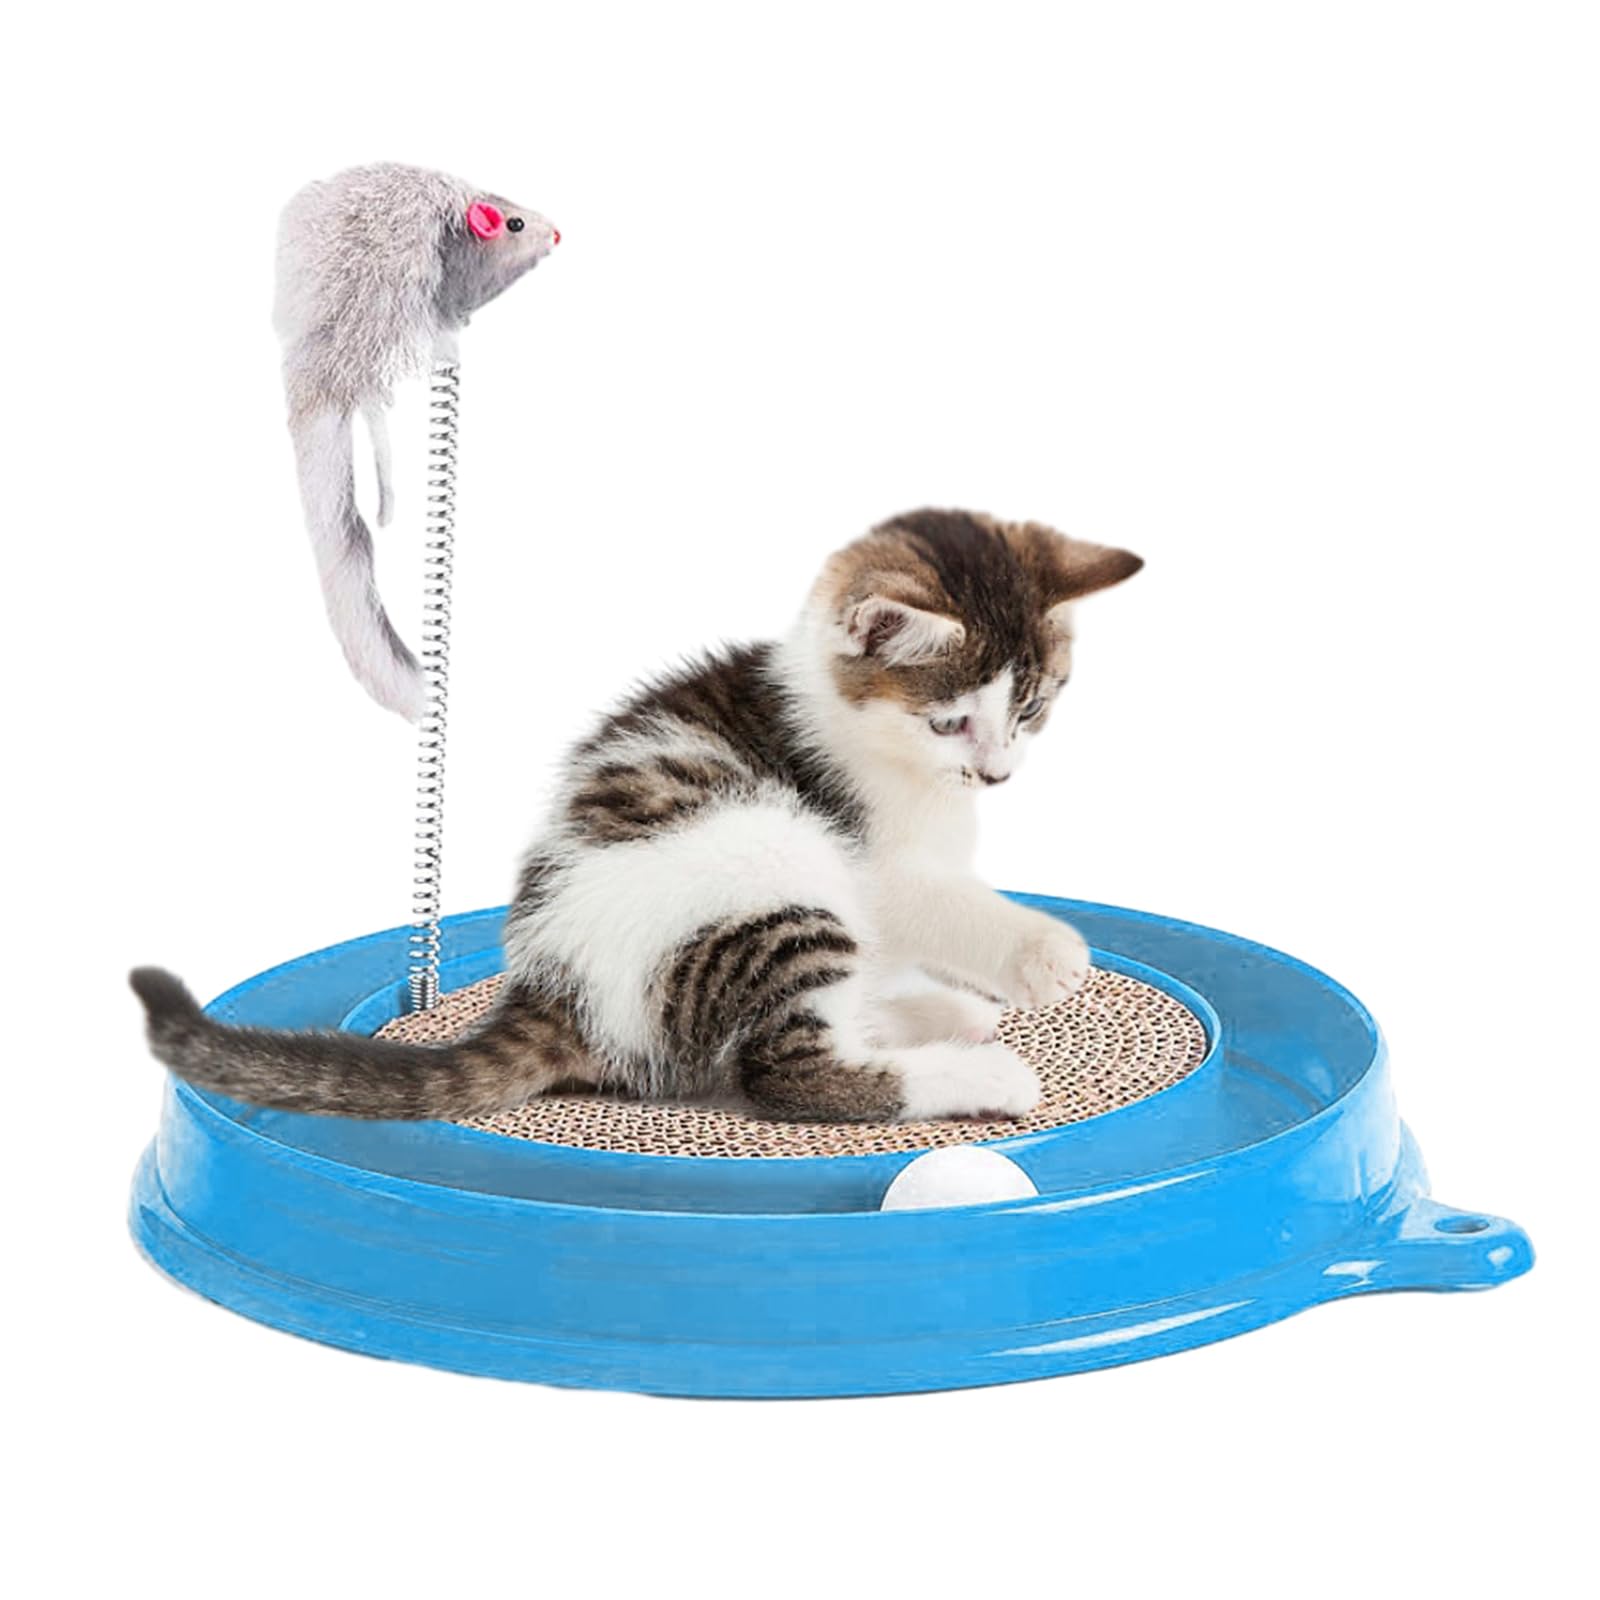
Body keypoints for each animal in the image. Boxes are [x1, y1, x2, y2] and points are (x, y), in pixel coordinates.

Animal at [131, 508, 1142, 1124]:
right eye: (949, 720)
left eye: (1033, 707)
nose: (997, 774)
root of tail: (550, 983)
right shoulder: (869, 855)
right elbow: (934, 901)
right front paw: (1044, 953)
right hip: (771, 863)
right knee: (788, 1072)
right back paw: (976, 1070)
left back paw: (932, 1011)